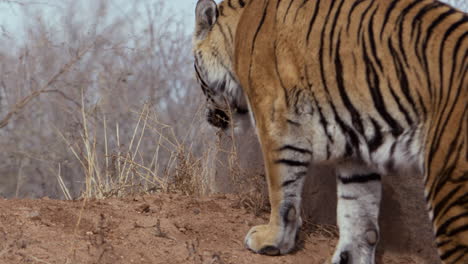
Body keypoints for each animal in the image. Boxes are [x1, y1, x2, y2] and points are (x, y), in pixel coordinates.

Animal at [192, 0, 468, 262]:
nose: (208, 117)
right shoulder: (356, 151)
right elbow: (358, 221)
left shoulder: (278, 122)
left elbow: (282, 191)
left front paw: (272, 240)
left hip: (451, 183)